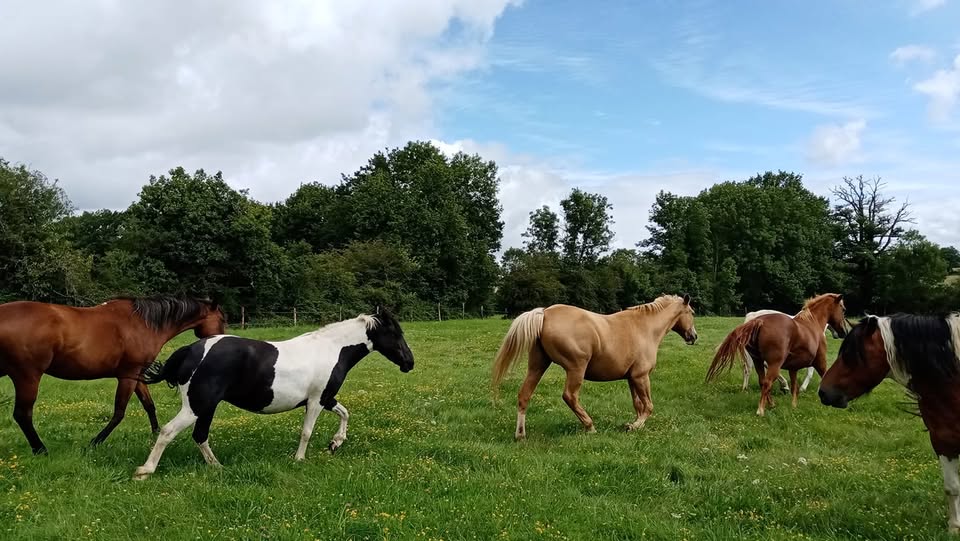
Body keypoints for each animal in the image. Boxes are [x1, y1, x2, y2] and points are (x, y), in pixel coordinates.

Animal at [0, 296, 225, 454]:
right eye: (222, 318)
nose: (222, 339)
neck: (143, 323)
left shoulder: (136, 375)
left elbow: (149, 405)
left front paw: (154, 434)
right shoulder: (128, 375)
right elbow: (119, 413)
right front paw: (94, 442)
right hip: (28, 377)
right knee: (23, 415)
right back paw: (40, 449)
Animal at [132, 309, 414, 480]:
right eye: (395, 333)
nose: (409, 363)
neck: (332, 349)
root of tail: (191, 350)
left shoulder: (325, 398)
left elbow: (345, 413)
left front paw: (335, 443)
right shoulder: (315, 401)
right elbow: (307, 431)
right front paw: (300, 459)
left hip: (206, 407)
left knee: (200, 436)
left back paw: (217, 467)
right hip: (197, 406)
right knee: (168, 431)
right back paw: (145, 471)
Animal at [491, 294, 698, 440]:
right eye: (692, 313)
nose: (693, 336)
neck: (646, 328)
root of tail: (545, 313)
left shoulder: (632, 378)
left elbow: (638, 405)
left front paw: (634, 424)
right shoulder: (641, 376)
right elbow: (648, 406)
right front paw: (633, 426)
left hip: (537, 367)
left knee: (524, 395)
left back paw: (520, 435)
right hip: (576, 368)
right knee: (570, 396)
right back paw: (590, 426)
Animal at [706, 293, 847, 416]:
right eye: (843, 309)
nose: (843, 332)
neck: (812, 323)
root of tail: (756, 320)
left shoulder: (793, 367)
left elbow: (795, 385)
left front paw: (794, 405)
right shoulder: (819, 360)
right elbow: (819, 374)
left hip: (757, 360)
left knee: (760, 379)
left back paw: (770, 401)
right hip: (775, 361)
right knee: (767, 381)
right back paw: (762, 408)